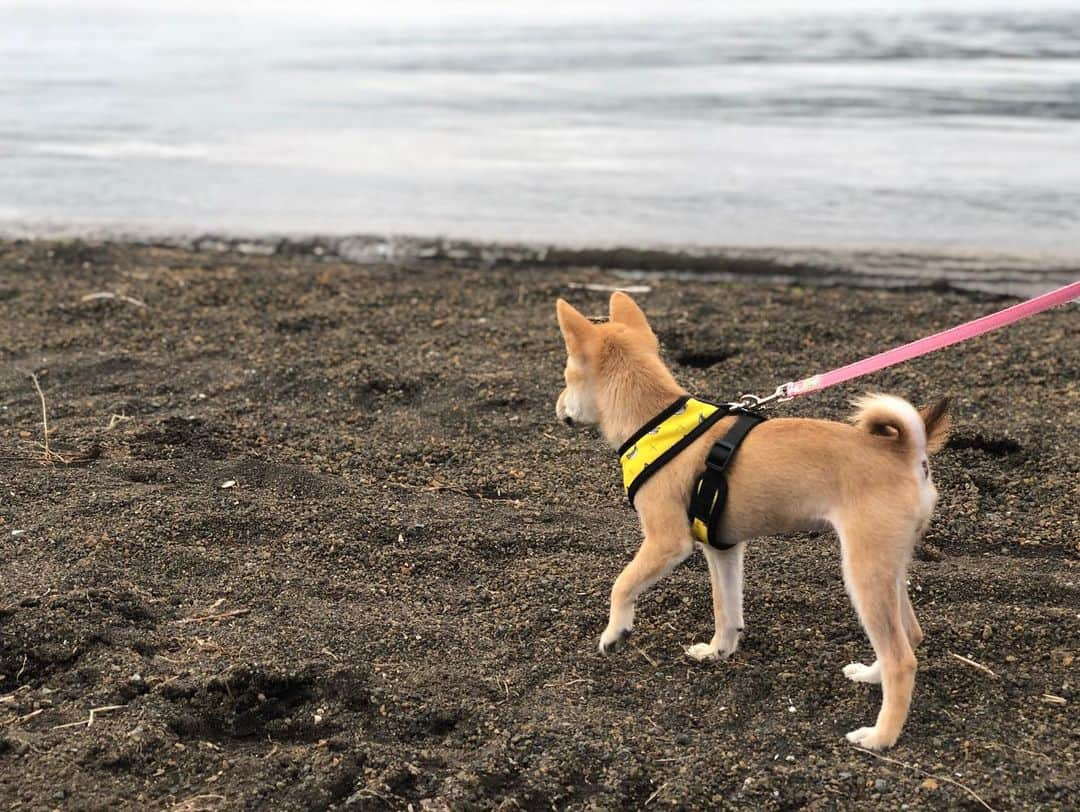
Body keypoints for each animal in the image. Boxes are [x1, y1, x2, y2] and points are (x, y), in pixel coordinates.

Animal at [552, 289, 950, 747]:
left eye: (567, 376)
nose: (557, 406)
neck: (654, 422)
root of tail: (907, 453)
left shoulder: (667, 542)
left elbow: (621, 584)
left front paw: (615, 632)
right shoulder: (723, 548)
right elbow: (726, 608)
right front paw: (718, 651)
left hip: (864, 570)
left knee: (902, 658)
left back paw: (880, 736)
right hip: (888, 565)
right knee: (910, 635)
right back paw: (870, 675)